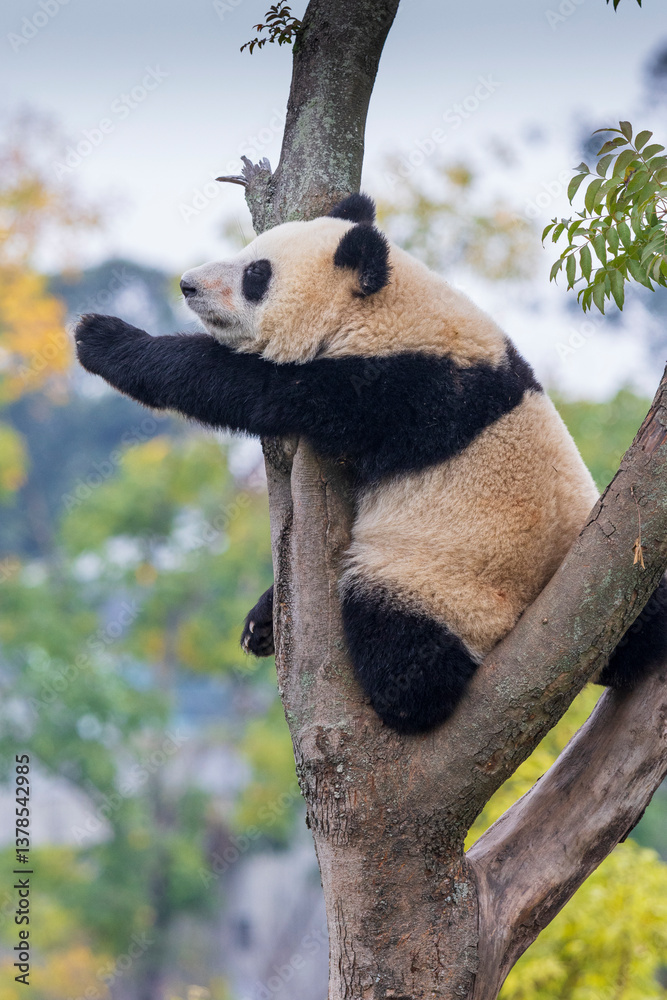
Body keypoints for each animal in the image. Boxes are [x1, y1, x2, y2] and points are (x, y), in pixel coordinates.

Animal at [75, 192, 667, 733]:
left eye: (256, 274)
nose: (188, 285)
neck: (385, 306)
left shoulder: (392, 385)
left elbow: (247, 386)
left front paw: (102, 337)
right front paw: (259, 620)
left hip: (444, 581)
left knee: (398, 634)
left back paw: (404, 699)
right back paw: (264, 623)